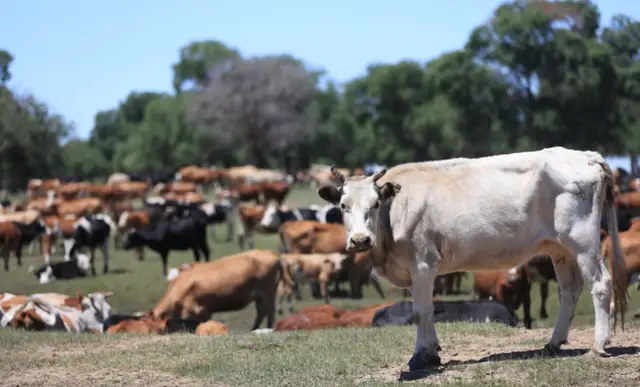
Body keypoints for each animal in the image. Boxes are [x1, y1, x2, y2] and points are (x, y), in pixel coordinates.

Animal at [151, 250, 288, 332]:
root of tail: (273, 254)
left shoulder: (202, 312)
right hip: (260, 296)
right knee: (261, 312)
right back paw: (254, 329)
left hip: (268, 292)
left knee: (269, 312)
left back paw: (268, 328)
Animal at [318, 147, 628, 372]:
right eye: (343, 206)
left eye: (375, 204)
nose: (360, 240)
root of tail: (587, 155)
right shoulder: (421, 270)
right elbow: (428, 309)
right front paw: (433, 352)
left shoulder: (422, 264)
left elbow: (421, 312)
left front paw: (420, 357)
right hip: (560, 249)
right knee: (570, 290)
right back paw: (553, 343)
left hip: (583, 241)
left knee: (600, 284)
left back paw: (599, 345)